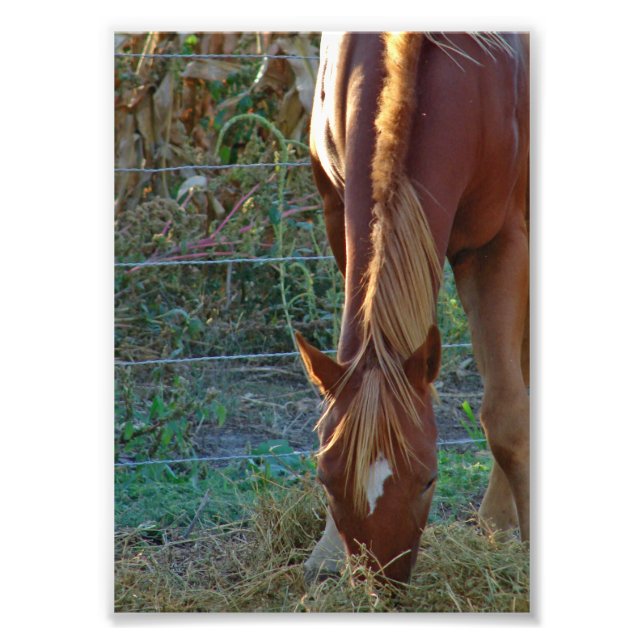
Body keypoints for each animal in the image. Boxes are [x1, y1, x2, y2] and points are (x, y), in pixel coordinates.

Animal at [295, 32, 530, 584]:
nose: (383, 584)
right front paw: (327, 554)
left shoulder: (496, 243)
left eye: (429, 480)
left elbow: (506, 415)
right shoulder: (338, 214)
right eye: (326, 480)